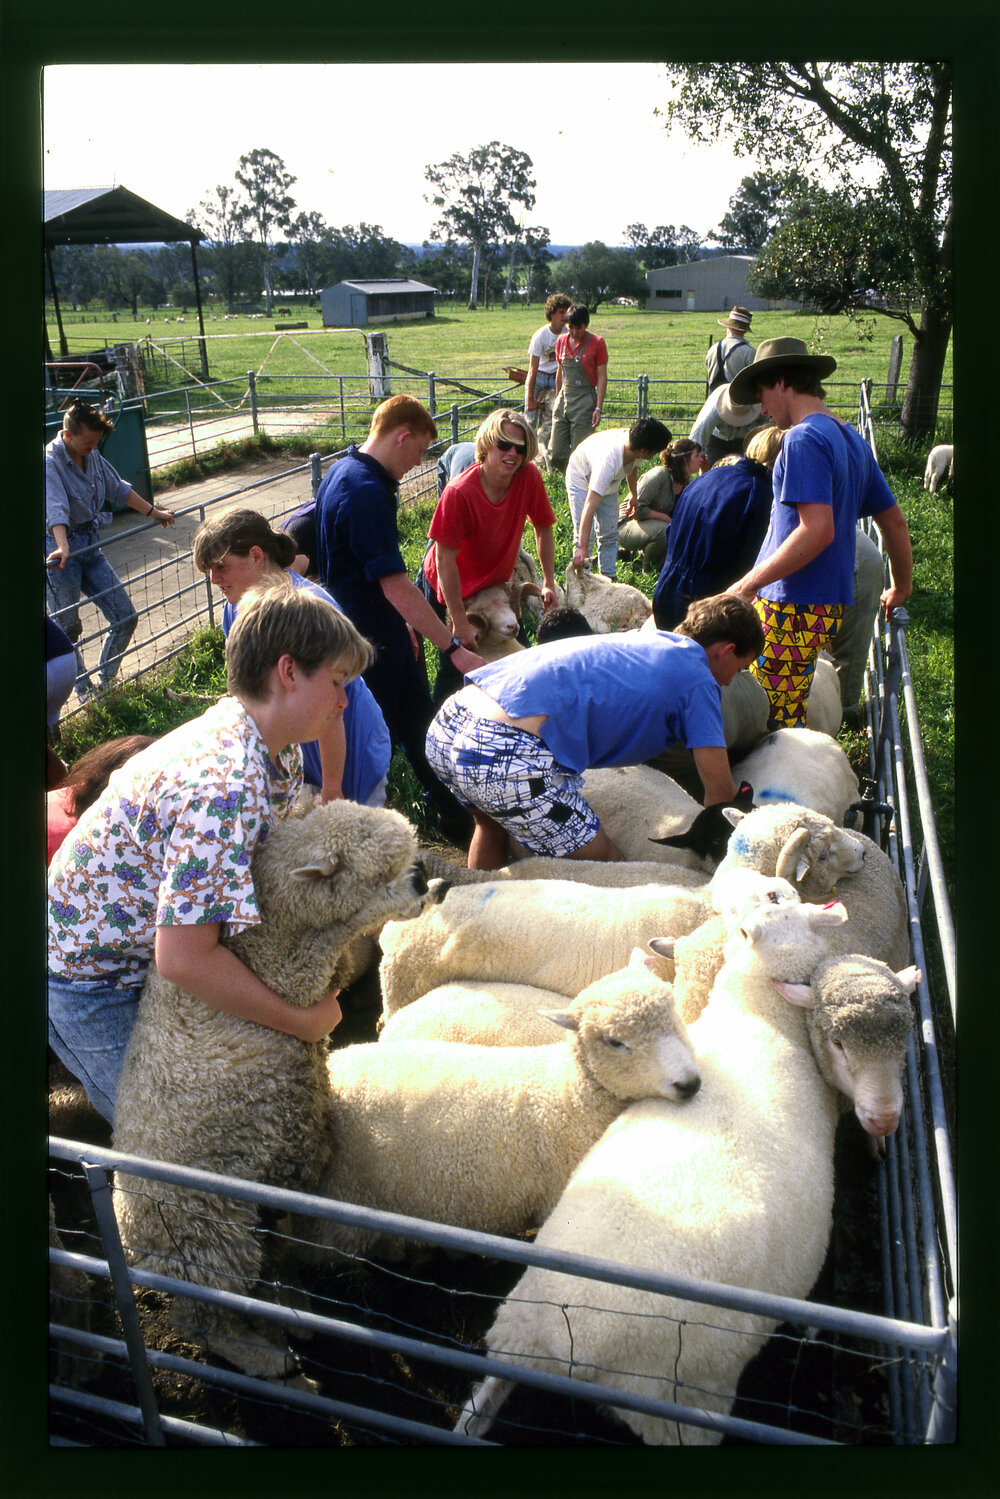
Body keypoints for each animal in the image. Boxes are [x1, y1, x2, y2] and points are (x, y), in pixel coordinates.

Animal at [112, 801, 446, 1385]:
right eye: (377, 874)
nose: (425, 877)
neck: (264, 948)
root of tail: (140, 1250)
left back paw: (293, 1313)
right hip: (214, 1241)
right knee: (203, 1318)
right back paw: (269, 1359)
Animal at [314, 953, 700, 1259]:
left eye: (674, 1010)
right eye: (615, 1042)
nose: (690, 1083)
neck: (568, 1098)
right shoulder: (552, 1198)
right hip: (342, 1206)